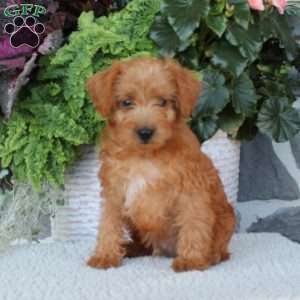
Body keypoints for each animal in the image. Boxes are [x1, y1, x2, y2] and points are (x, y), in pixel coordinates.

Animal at [85, 56, 236, 272]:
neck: (145, 156)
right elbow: (109, 224)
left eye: (162, 102)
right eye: (127, 102)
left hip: (227, 218)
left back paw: (211, 256)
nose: (145, 132)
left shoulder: (191, 192)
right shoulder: (114, 192)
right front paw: (105, 255)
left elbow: (194, 224)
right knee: (144, 245)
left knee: (221, 248)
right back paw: (129, 248)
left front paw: (191, 259)